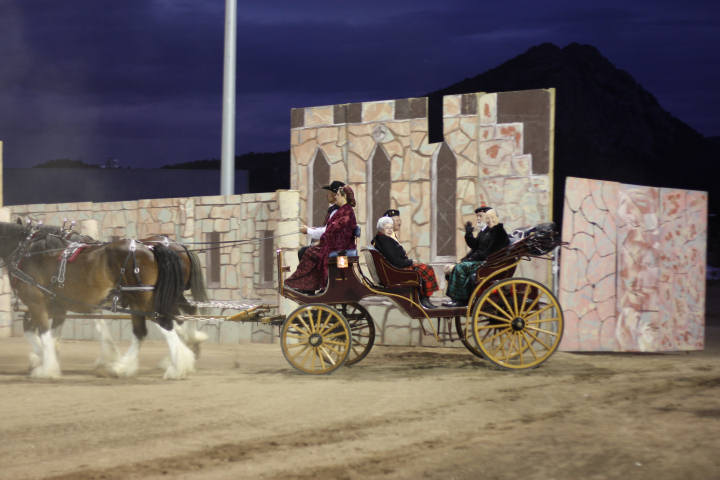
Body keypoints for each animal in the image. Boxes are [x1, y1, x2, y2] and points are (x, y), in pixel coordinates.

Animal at [0, 219, 197, 380]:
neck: (26, 251)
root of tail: (154, 249)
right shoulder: (57, 305)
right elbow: (47, 334)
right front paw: (44, 359)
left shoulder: (36, 301)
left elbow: (42, 332)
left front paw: (46, 368)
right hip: (139, 301)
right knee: (145, 330)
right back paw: (124, 367)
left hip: (145, 300)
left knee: (165, 324)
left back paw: (177, 367)